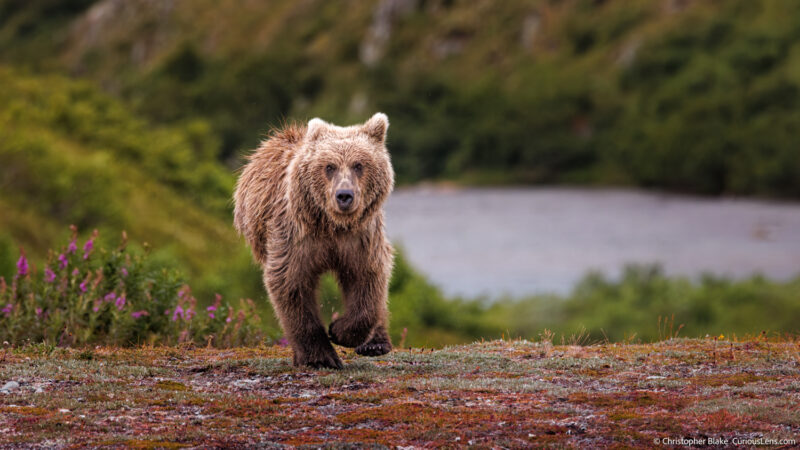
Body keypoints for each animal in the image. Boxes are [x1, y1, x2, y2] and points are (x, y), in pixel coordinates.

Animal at [231, 112, 394, 370]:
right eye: (329, 166)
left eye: (359, 165)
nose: (344, 195)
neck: (331, 225)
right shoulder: (296, 237)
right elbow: (290, 284)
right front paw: (319, 357)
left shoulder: (360, 239)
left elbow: (367, 278)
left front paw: (339, 330)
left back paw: (376, 343)